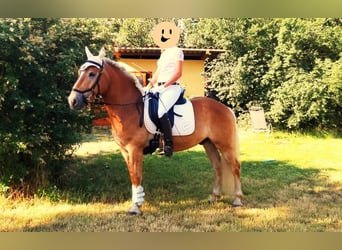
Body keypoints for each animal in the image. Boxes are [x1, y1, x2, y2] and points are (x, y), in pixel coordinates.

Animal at [67, 47, 243, 215]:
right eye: (80, 72)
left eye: (91, 74)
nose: (72, 101)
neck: (129, 107)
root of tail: (225, 108)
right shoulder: (125, 151)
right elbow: (132, 175)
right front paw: (136, 203)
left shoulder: (135, 150)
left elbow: (136, 176)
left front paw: (135, 207)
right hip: (208, 143)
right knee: (218, 166)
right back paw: (214, 197)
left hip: (225, 145)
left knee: (235, 167)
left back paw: (238, 200)